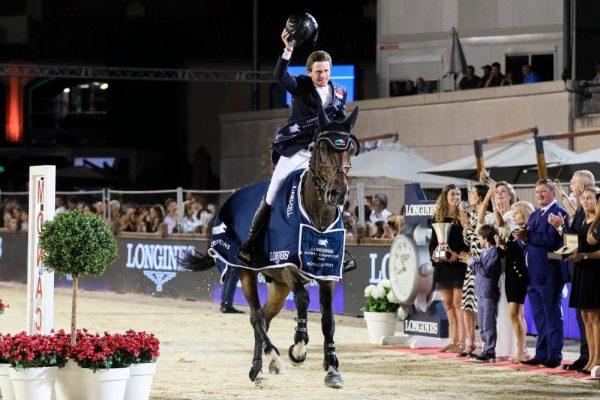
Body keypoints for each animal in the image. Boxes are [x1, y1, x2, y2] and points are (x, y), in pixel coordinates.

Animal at [183, 106, 358, 388]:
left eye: (351, 149)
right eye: (321, 147)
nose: (338, 193)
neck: (317, 217)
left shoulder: (328, 272)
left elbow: (328, 320)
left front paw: (332, 369)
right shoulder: (286, 264)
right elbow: (303, 299)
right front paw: (299, 347)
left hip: (277, 285)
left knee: (264, 317)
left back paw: (260, 368)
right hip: (246, 271)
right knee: (256, 316)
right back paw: (270, 360)